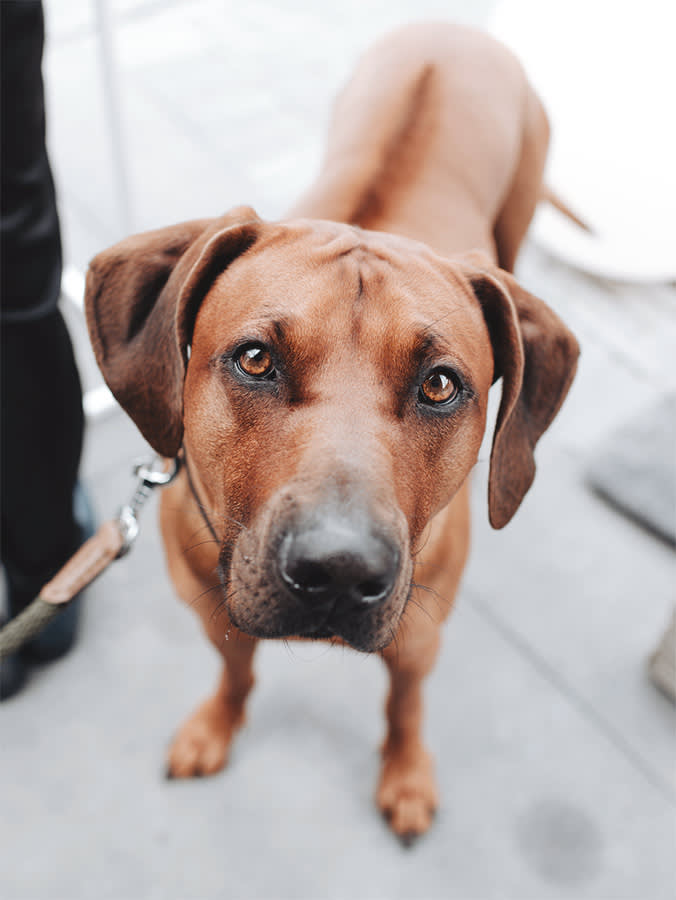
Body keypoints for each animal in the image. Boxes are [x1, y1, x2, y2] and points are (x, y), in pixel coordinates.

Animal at [84, 24, 580, 848]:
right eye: (256, 358)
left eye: (440, 385)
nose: (341, 572)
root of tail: (457, 29)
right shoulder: (214, 612)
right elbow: (236, 670)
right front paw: (218, 724)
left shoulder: (417, 637)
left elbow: (404, 706)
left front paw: (406, 775)